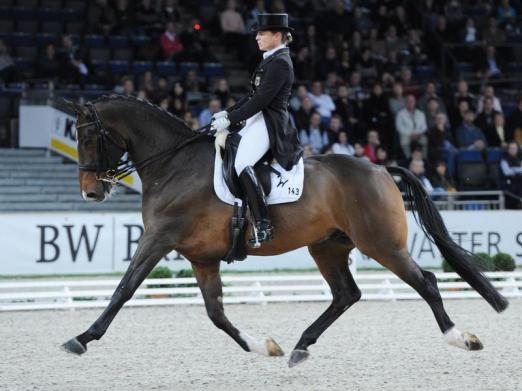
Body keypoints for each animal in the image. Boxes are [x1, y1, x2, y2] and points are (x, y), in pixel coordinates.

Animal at [60, 96, 504, 370]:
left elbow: (124, 290)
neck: (173, 165)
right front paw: (264, 346)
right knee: (346, 294)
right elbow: (216, 313)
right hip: (327, 247)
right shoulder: (201, 257)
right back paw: (300, 346)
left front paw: (81, 338)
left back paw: (462, 338)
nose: (90, 192)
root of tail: (380, 168)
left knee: (426, 281)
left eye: (88, 136)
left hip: (380, 243)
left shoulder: (158, 239)